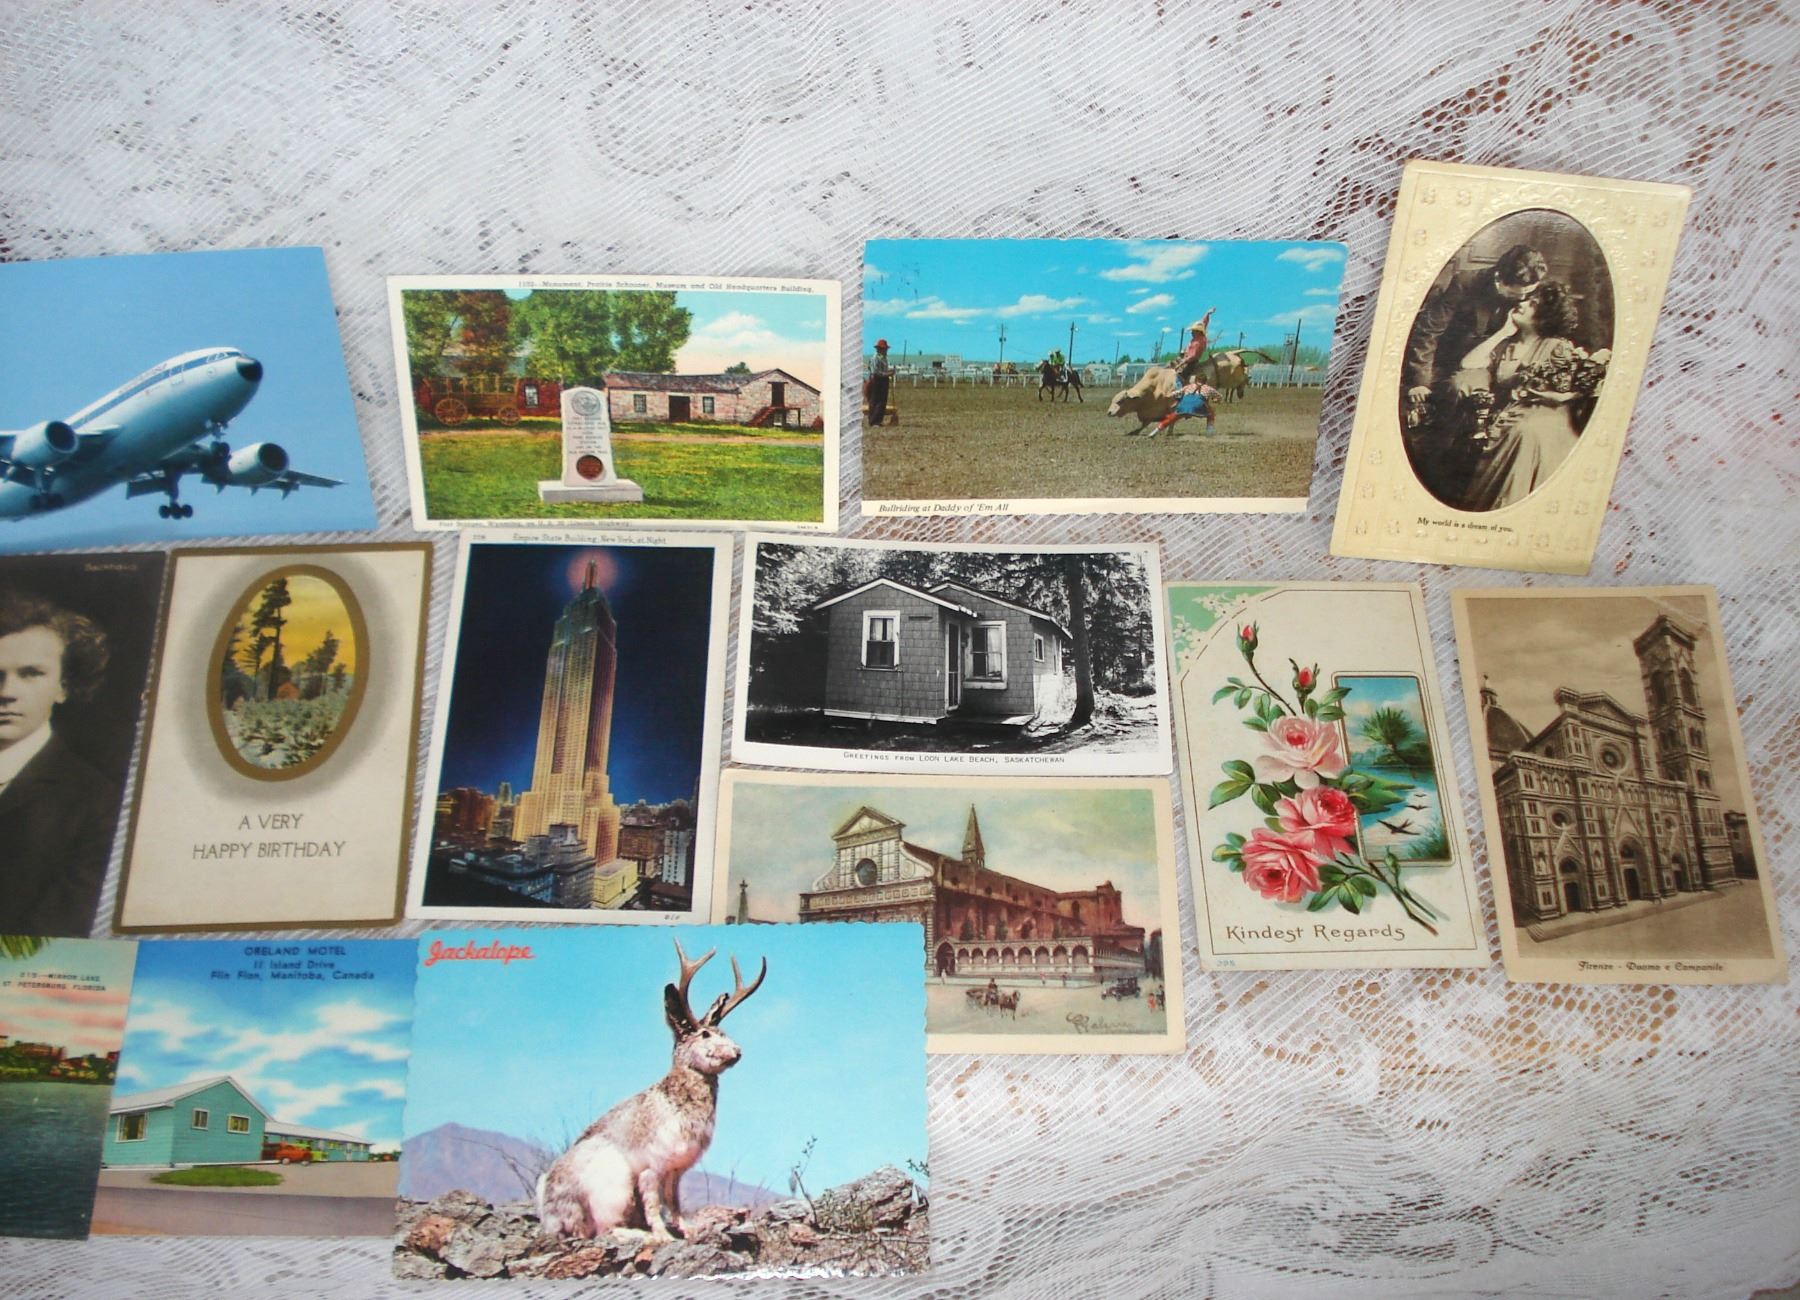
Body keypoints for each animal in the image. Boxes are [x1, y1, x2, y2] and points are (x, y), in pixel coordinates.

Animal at [536, 939, 766, 1244]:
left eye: (723, 1032)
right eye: (705, 1034)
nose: (737, 1052)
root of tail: (553, 1213)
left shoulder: (675, 1172)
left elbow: (674, 1202)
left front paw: (688, 1230)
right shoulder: (651, 1169)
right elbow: (654, 1204)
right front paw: (665, 1236)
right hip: (614, 1186)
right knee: (606, 1230)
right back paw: (644, 1236)